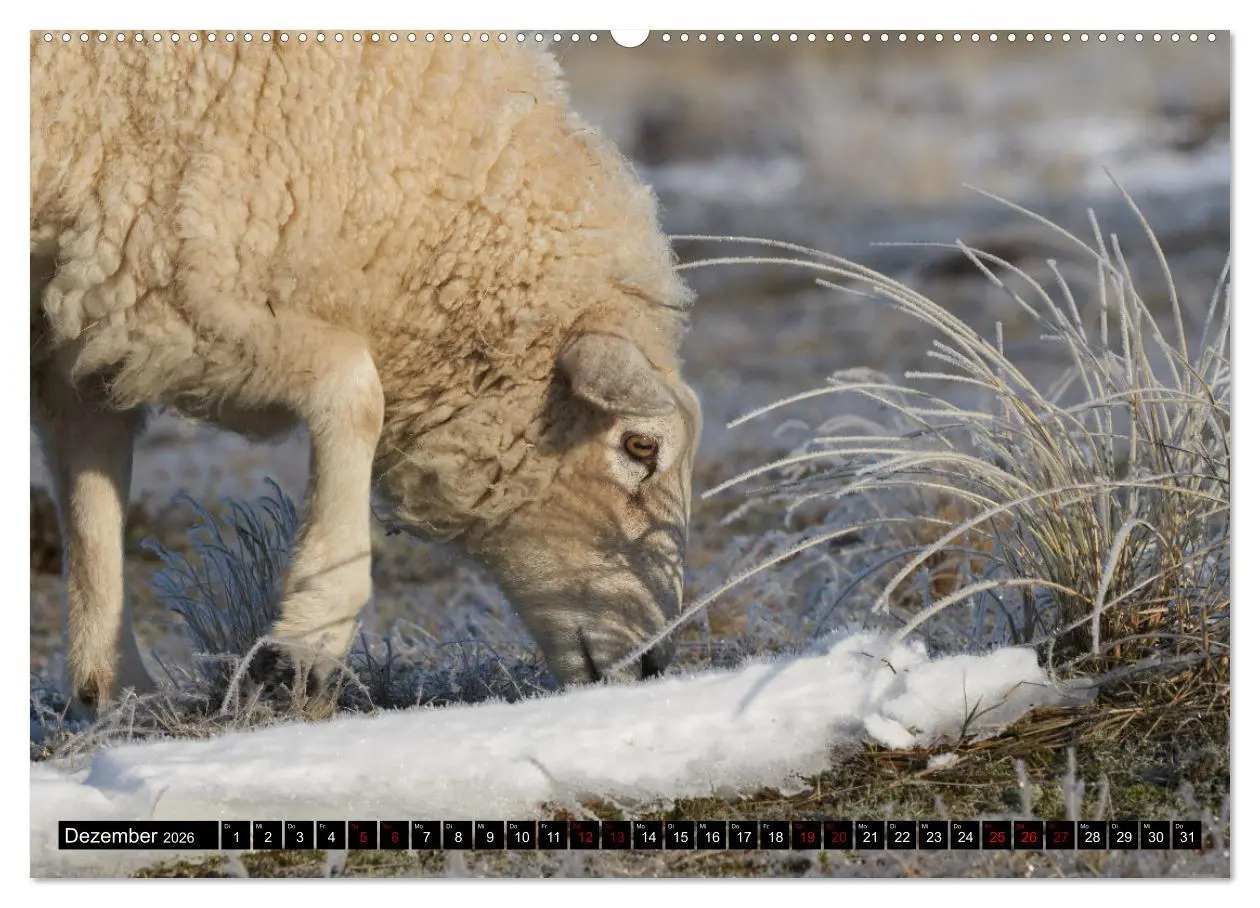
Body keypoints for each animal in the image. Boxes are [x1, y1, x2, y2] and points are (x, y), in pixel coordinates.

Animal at [30, 35, 702, 711]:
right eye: (640, 446)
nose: (655, 664)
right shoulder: (163, 270)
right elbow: (355, 390)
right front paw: (307, 643)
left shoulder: (87, 300)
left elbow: (91, 494)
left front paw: (117, 691)